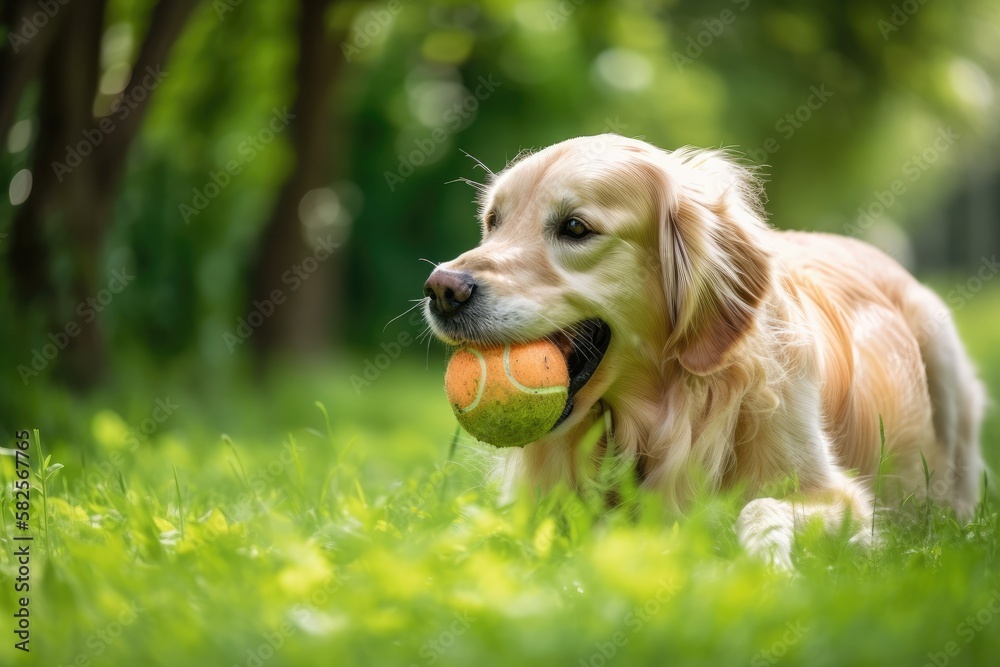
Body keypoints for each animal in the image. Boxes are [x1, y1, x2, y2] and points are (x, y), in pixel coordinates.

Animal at [420, 136, 984, 568]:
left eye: (575, 227)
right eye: (494, 221)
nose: (441, 288)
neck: (652, 419)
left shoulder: (842, 502)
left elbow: (759, 507)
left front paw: (766, 564)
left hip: (943, 351)